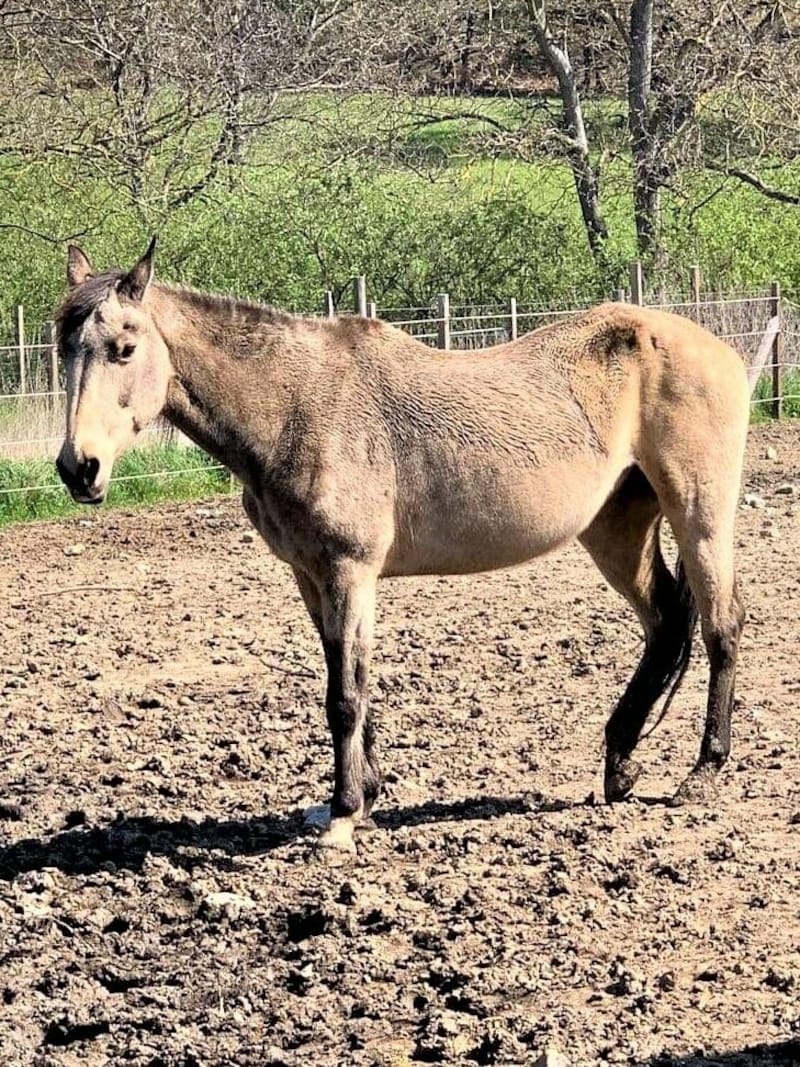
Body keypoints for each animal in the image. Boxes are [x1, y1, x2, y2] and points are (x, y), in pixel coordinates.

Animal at [56, 244, 750, 857]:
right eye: (63, 350)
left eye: (124, 348)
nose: (78, 467)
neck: (296, 407)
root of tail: (718, 349)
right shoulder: (312, 577)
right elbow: (349, 681)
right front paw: (363, 796)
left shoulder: (348, 572)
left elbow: (344, 697)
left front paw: (341, 818)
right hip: (614, 528)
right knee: (665, 622)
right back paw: (619, 764)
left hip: (699, 513)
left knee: (721, 624)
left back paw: (703, 772)